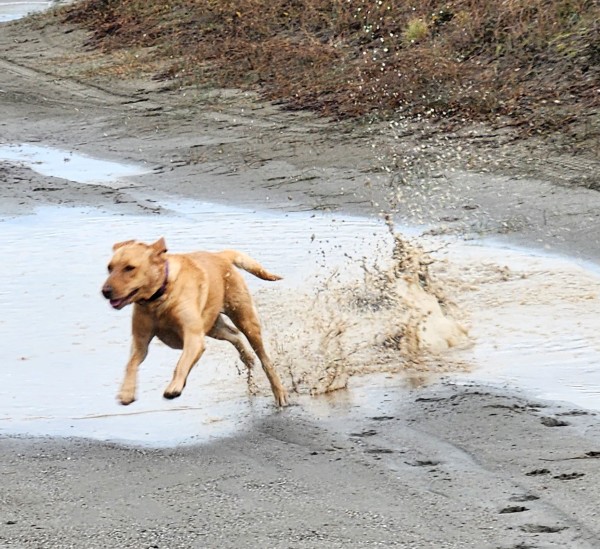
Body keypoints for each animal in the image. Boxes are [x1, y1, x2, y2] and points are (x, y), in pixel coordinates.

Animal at [101, 238, 288, 408]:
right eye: (109, 268)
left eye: (129, 268)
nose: (105, 291)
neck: (160, 297)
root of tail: (220, 255)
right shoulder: (140, 342)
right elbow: (131, 363)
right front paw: (126, 391)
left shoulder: (193, 338)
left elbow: (181, 363)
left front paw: (174, 387)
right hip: (212, 327)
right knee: (234, 335)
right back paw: (247, 358)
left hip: (245, 320)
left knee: (265, 360)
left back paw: (279, 392)